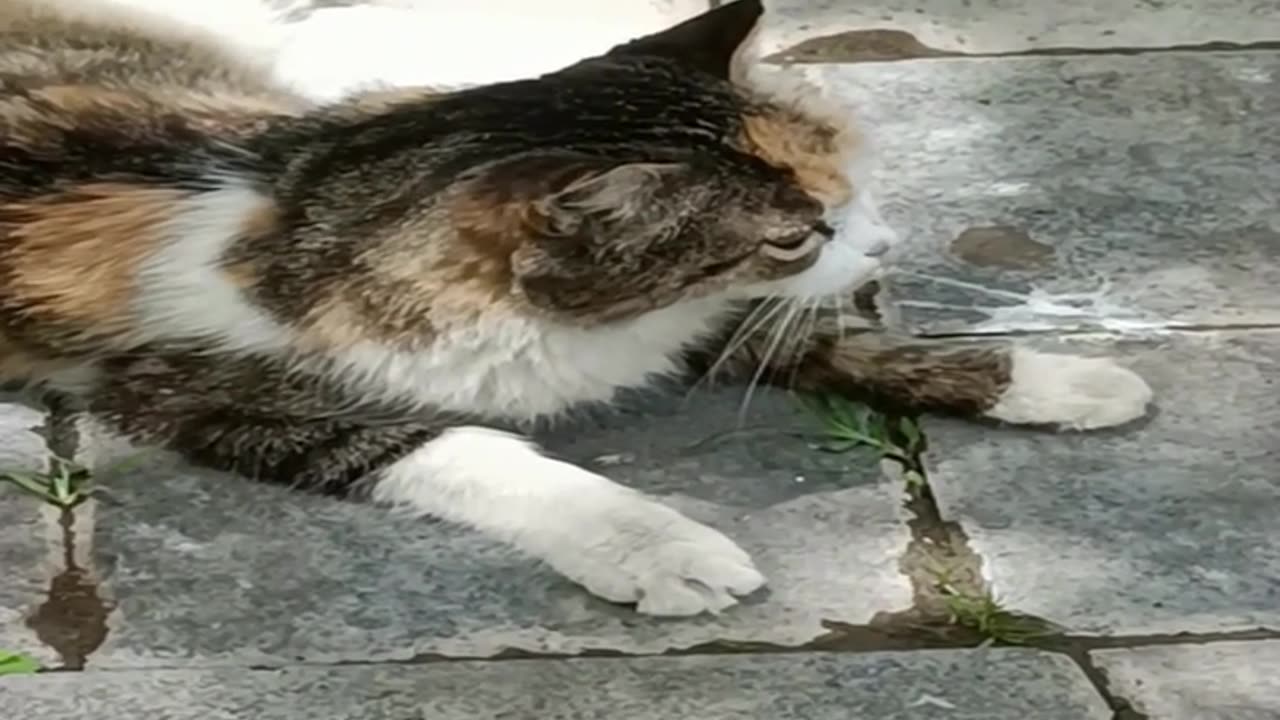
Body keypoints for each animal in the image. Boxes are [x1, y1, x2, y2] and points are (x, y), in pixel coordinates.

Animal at [0, 1, 1152, 617]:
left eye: (851, 185)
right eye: (795, 235)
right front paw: (656, 546)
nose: (880, 246)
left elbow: (828, 339)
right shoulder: (202, 391)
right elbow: (465, 447)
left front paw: (1057, 376)